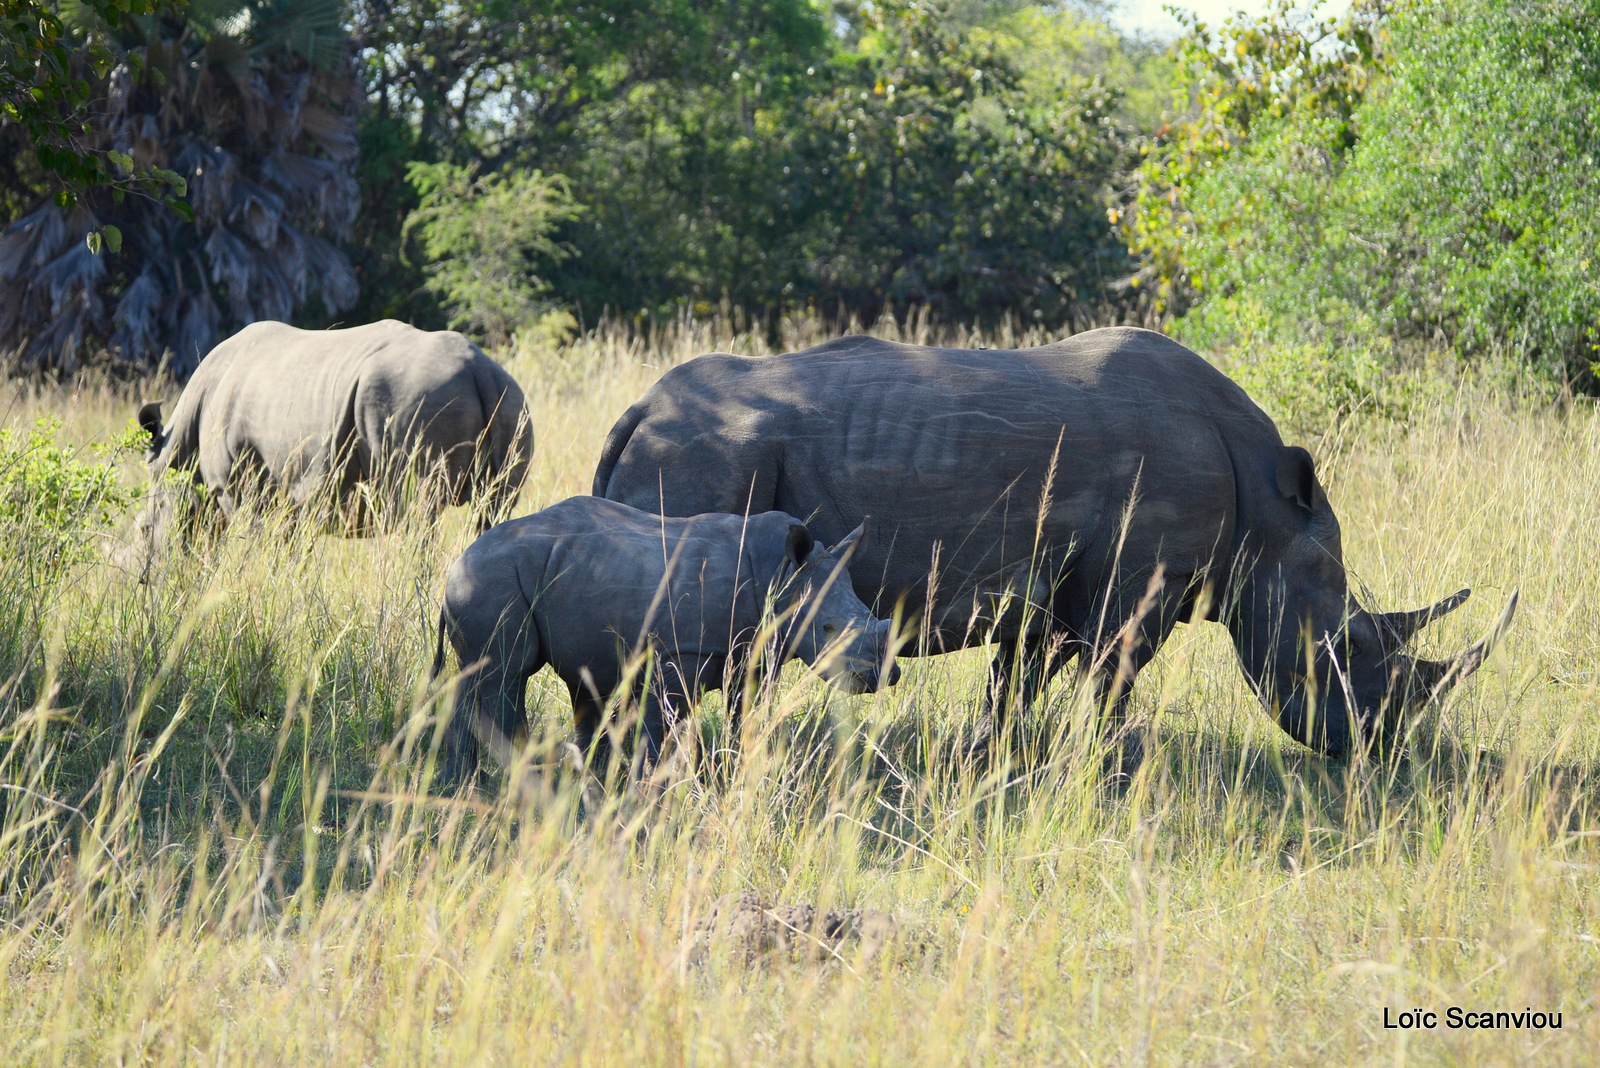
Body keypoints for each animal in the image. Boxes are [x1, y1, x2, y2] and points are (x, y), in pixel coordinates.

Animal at [124, 316, 534, 559]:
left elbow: (255, 542)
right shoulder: (292, 500)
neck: (178, 450)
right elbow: (291, 551)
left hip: (415, 403)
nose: (144, 580)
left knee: (416, 514)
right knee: (493, 513)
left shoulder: (238, 488)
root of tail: (479, 368)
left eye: (144, 531)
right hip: (512, 402)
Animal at [432, 495, 902, 780]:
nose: (884, 675)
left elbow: (744, 718)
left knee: (483, 677)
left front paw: (735, 776)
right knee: (506, 674)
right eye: (828, 630)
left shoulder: (753, 652)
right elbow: (663, 727)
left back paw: (468, 781)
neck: (780, 572)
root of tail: (456, 563)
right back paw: (522, 780)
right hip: (491, 579)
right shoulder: (678, 651)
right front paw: (650, 787)